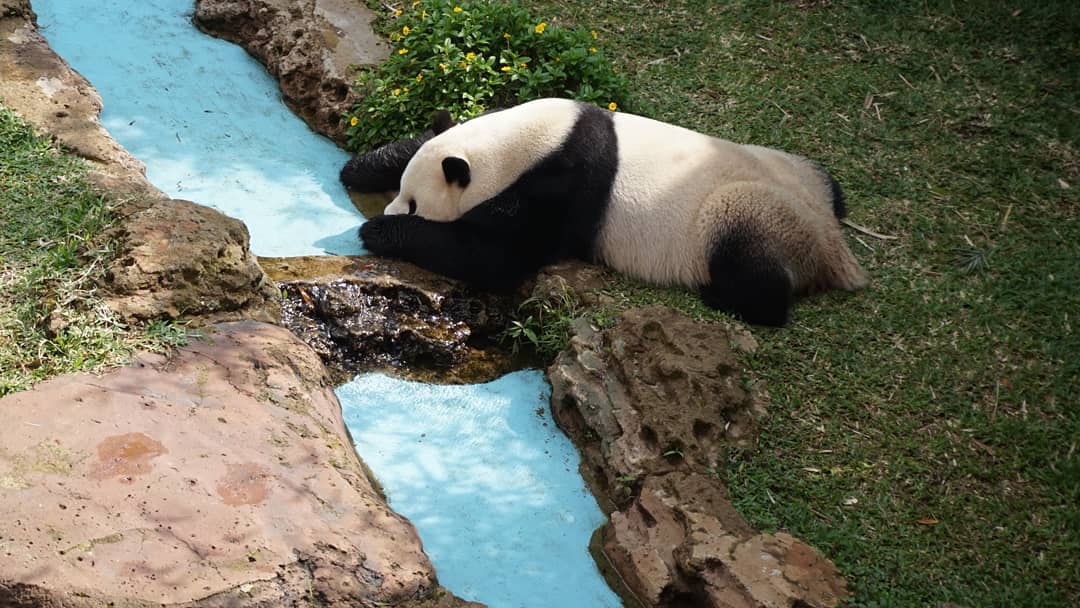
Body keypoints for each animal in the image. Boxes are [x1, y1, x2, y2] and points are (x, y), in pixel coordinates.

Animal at [342, 98, 867, 326]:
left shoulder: (562, 188)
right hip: (794, 165)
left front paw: (381, 230)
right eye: (402, 190)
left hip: (748, 214)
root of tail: (833, 244)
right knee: (824, 178)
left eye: (415, 203)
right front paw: (360, 167)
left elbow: (497, 258)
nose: (393, 208)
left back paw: (724, 297)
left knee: (753, 265)